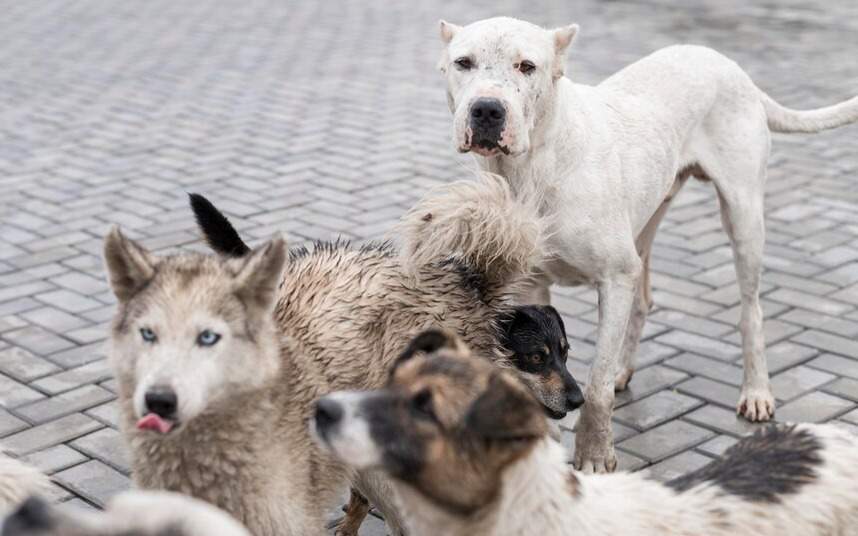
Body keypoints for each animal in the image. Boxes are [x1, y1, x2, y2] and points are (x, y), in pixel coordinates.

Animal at [438, 15, 856, 474]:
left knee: (752, 311)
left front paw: (594, 455)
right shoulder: (532, 285)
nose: (487, 109)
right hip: (648, 221)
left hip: (744, 216)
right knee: (642, 299)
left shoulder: (614, 277)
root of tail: (729, 64)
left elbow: (596, 385)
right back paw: (626, 366)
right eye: (463, 62)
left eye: (526, 66)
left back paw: (756, 390)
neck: (532, 167)